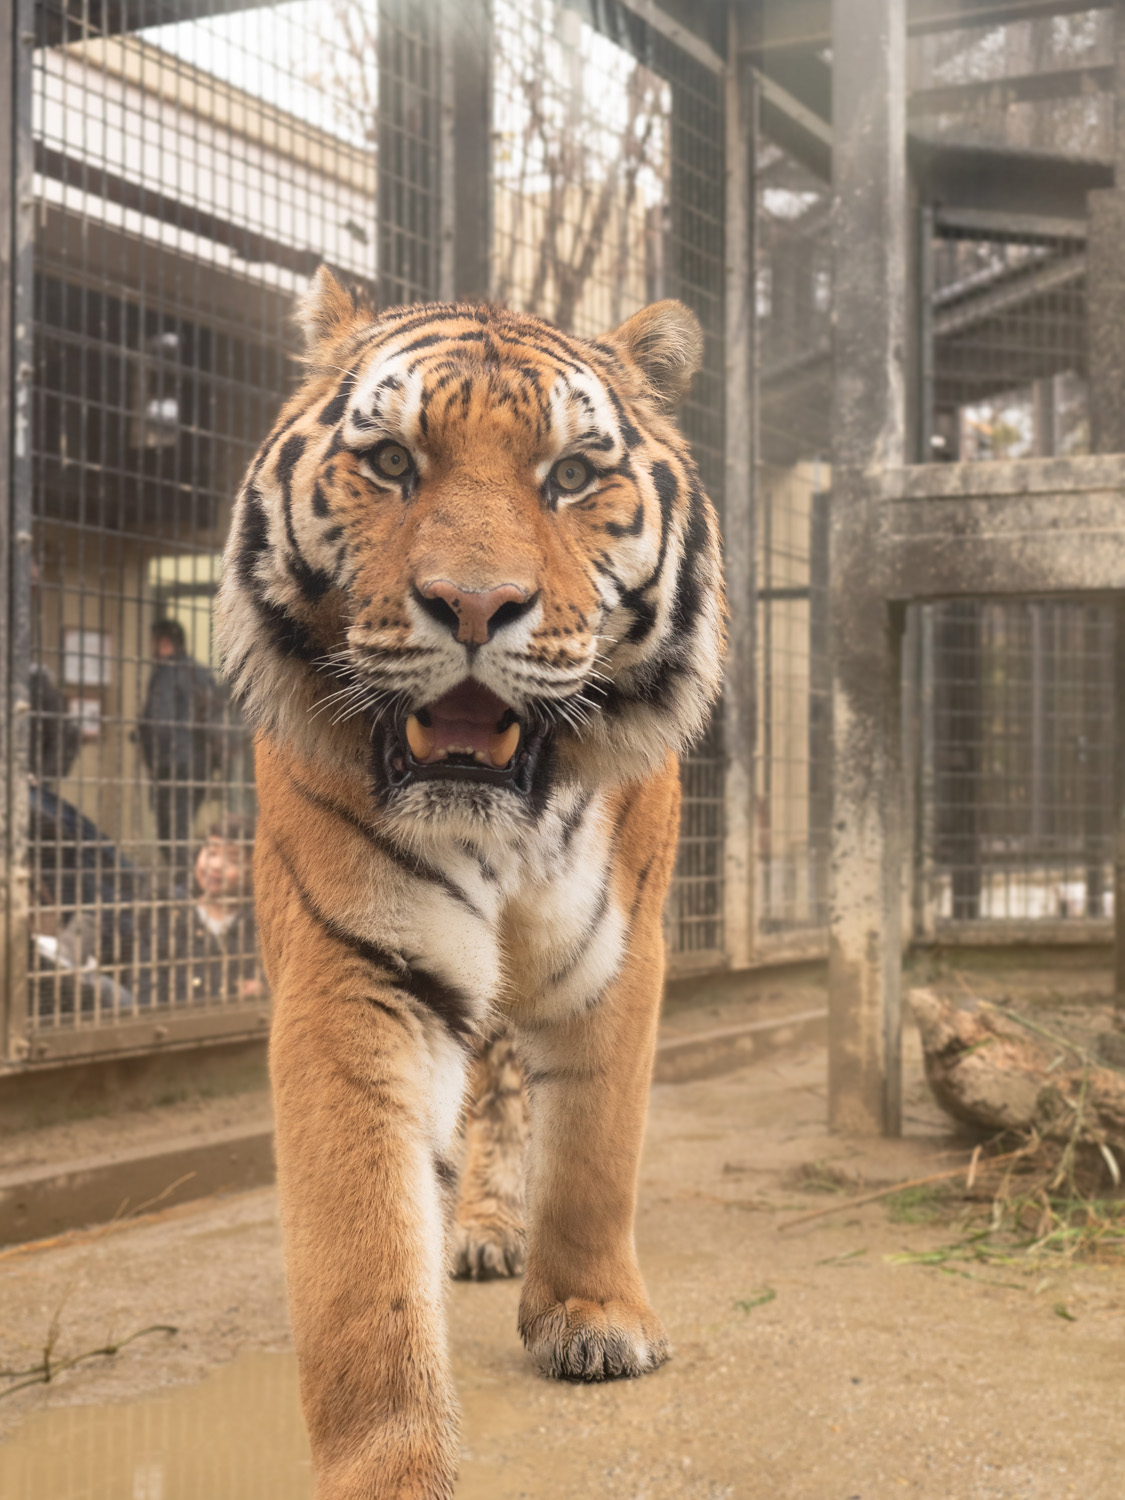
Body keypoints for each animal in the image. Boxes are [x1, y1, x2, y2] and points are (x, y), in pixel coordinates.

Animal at [216, 270, 726, 1500]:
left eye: (573, 476)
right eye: (393, 461)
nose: (475, 604)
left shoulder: (618, 949)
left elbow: (594, 1151)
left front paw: (594, 1318)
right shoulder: (354, 964)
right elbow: (361, 1263)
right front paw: (395, 1467)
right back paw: (481, 1227)